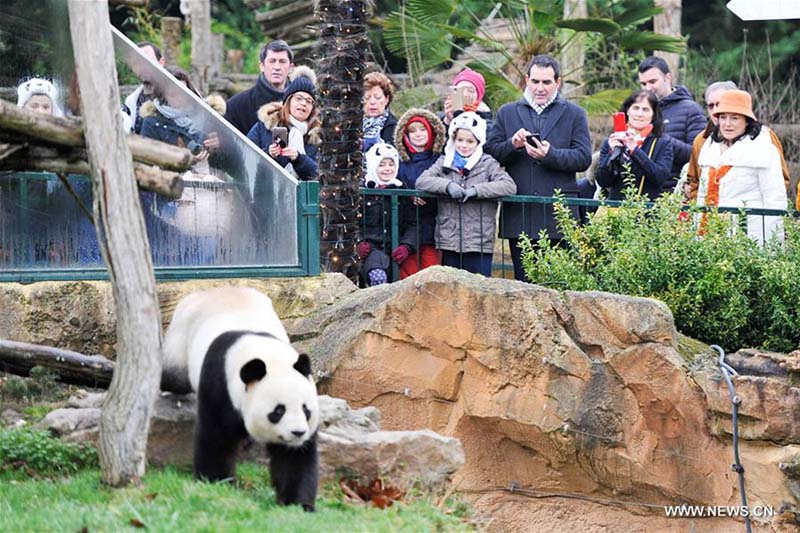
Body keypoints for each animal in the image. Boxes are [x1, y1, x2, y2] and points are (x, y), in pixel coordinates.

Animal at [162, 286, 320, 511]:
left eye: (306, 410)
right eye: (278, 411)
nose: (297, 433)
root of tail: (211, 290)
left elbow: (294, 459)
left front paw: (299, 504)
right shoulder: (219, 382)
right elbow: (216, 438)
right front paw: (215, 482)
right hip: (180, 338)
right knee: (173, 376)